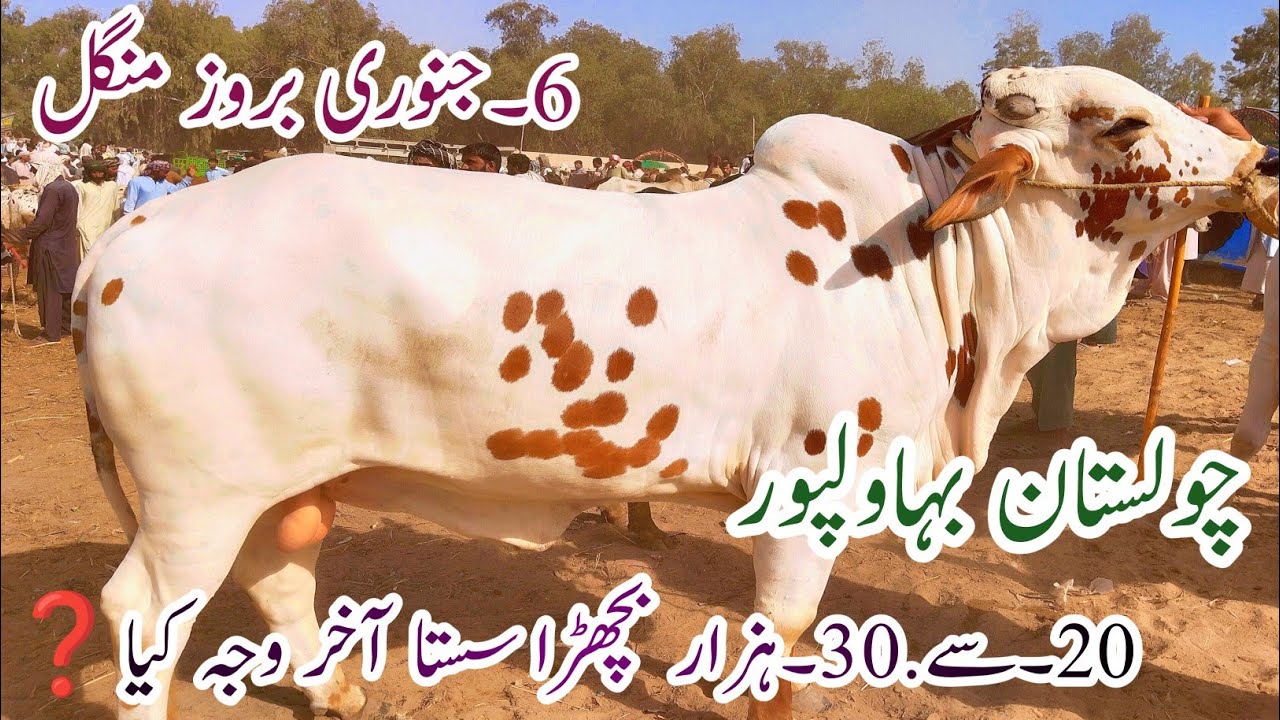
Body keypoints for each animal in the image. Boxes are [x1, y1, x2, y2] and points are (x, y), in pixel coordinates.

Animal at [76, 66, 1277, 720]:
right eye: (1124, 123)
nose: (1253, 158)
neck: (934, 270)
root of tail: (129, 237)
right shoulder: (803, 500)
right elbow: (781, 638)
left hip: (279, 484)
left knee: (280, 578)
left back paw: (335, 688)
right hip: (194, 499)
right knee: (142, 615)